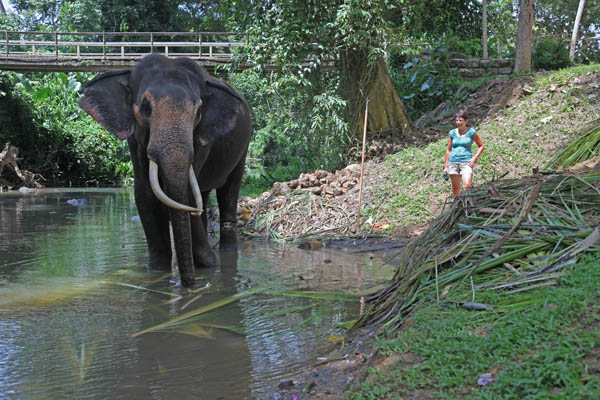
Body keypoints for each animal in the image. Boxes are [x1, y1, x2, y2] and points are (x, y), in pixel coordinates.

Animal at [78, 54, 251, 288]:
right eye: (145, 108)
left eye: (198, 112)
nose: (190, 284)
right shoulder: (135, 141)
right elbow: (145, 196)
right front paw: (157, 270)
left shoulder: (201, 138)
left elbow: (186, 195)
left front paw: (208, 264)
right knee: (203, 196)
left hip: (243, 148)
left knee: (229, 192)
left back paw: (225, 252)